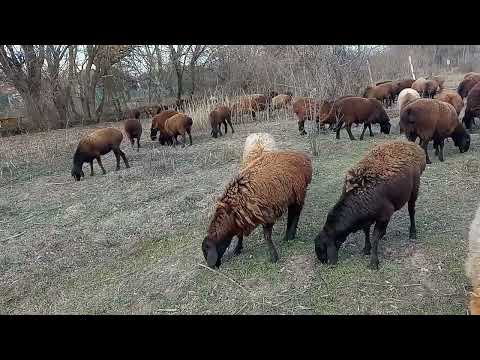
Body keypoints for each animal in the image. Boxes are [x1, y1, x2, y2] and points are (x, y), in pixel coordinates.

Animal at [316, 141, 428, 270]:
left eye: (322, 249)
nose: (322, 261)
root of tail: (415, 147)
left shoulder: (384, 214)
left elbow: (374, 238)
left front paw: (374, 262)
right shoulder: (368, 216)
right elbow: (366, 231)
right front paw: (366, 248)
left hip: (414, 189)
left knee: (411, 210)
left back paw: (413, 233)